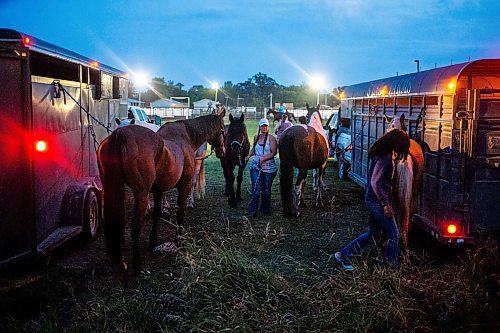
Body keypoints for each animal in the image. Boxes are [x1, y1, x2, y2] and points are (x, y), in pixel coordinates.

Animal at [97, 113, 225, 274]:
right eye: (223, 130)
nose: (222, 151)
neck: (185, 136)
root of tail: (121, 135)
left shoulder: (158, 189)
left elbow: (157, 214)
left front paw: (152, 242)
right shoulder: (184, 185)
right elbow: (180, 213)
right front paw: (179, 240)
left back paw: (120, 261)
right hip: (141, 194)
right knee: (135, 226)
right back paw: (137, 265)